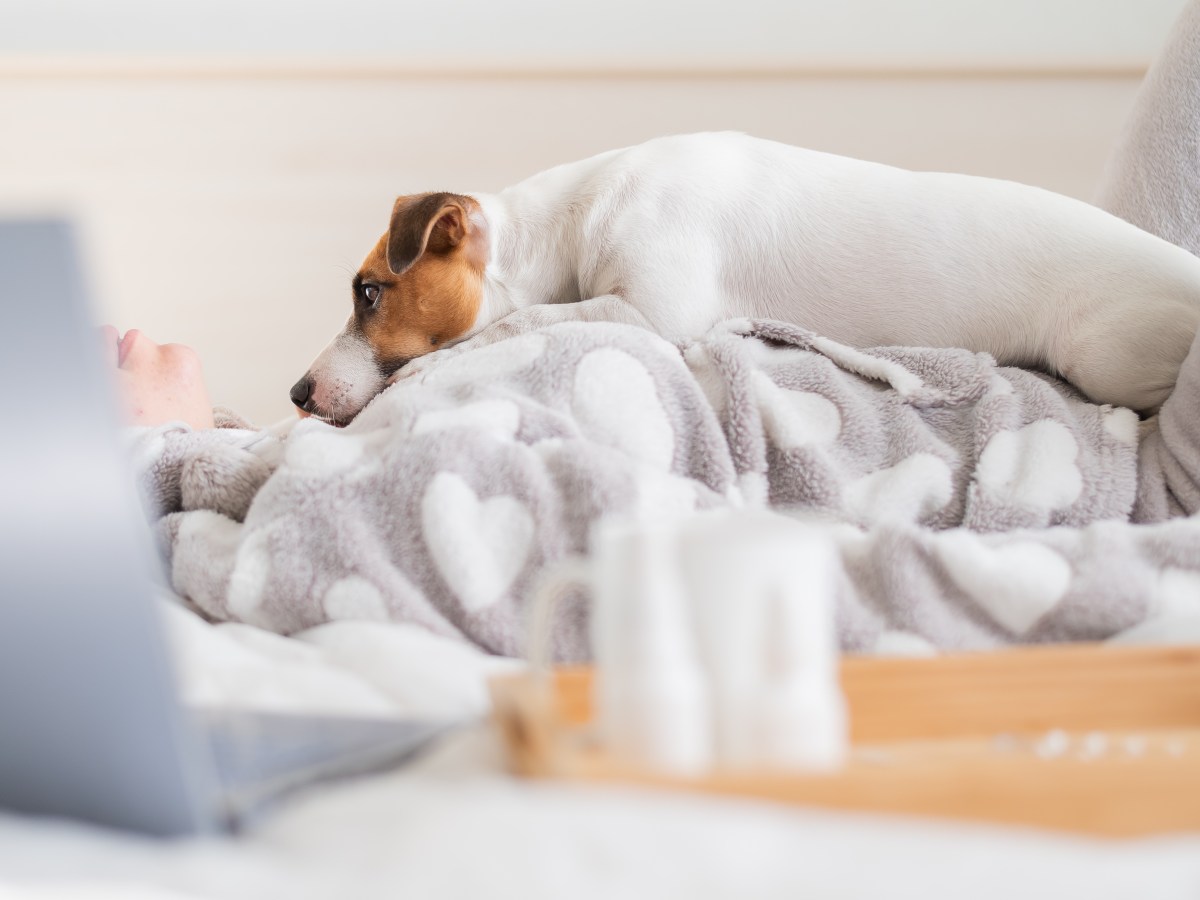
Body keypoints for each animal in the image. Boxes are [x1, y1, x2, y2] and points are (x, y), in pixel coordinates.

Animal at [290, 132, 1200, 424]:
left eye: (368, 291)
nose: (297, 393)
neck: (572, 220)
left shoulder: (651, 312)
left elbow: (522, 323)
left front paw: (431, 368)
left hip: (1106, 356)